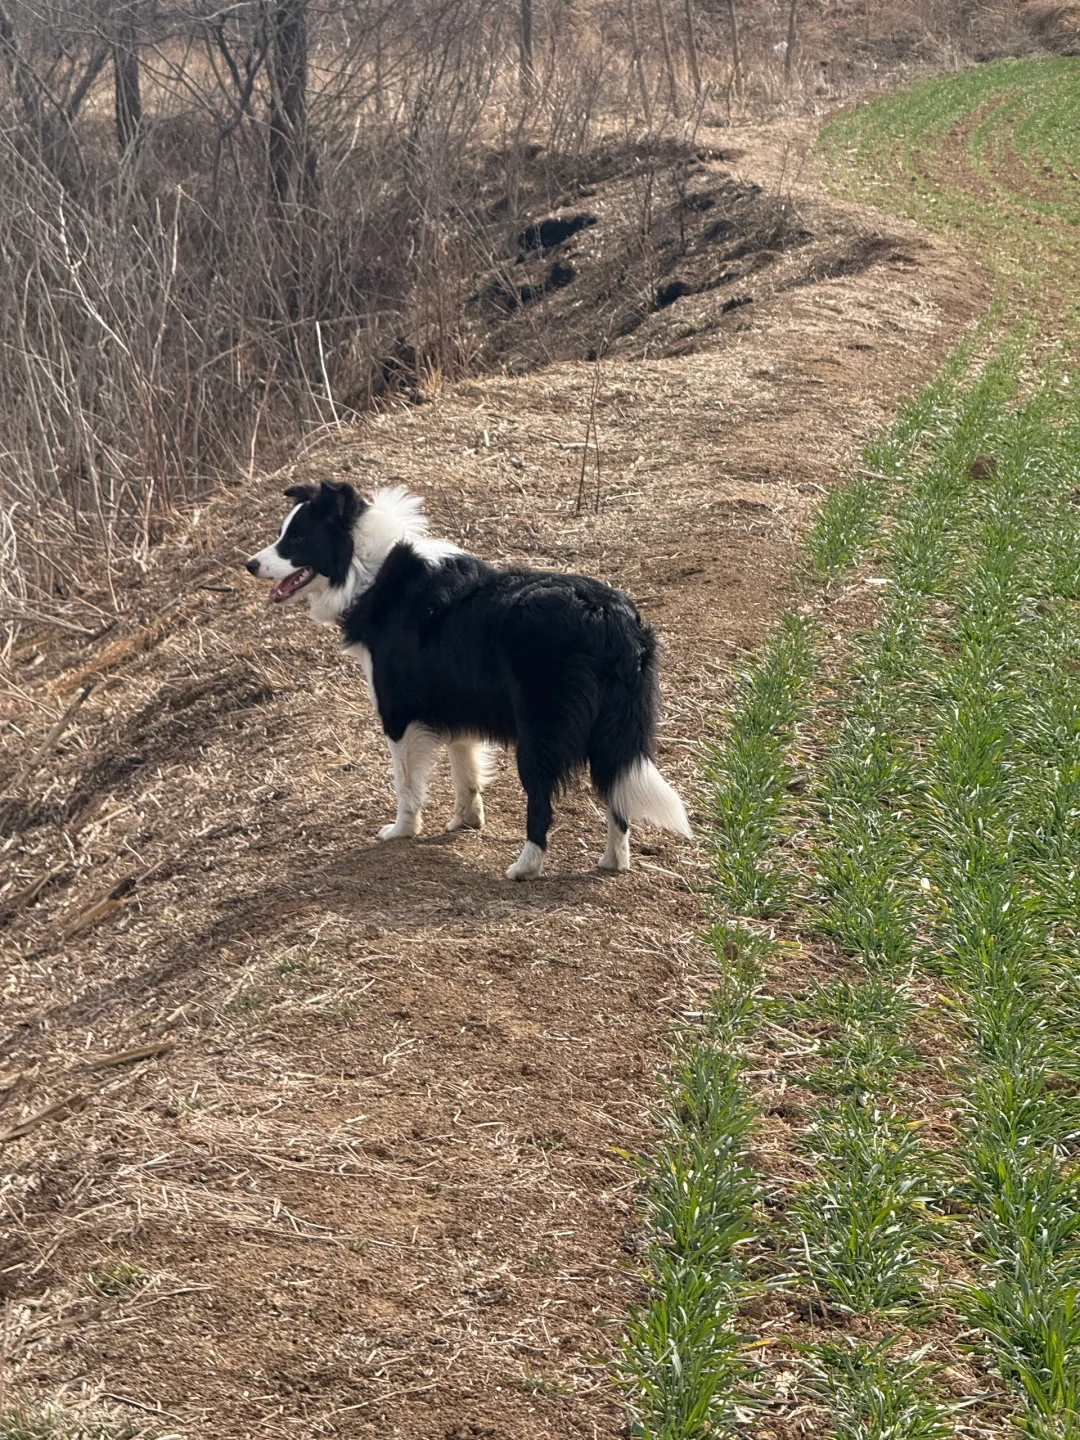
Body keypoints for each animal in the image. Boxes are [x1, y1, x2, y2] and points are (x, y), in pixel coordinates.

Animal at [244, 480, 688, 875]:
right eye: (283, 534)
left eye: (296, 539)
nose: (250, 564)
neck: (366, 567)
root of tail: (609, 616)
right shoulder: (457, 702)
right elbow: (465, 768)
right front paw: (465, 821)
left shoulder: (397, 715)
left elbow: (406, 784)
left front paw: (402, 830)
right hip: (614, 729)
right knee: (616, 793)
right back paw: (613, 861)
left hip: (540, 732)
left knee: (542, 801)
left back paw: (525, 867)